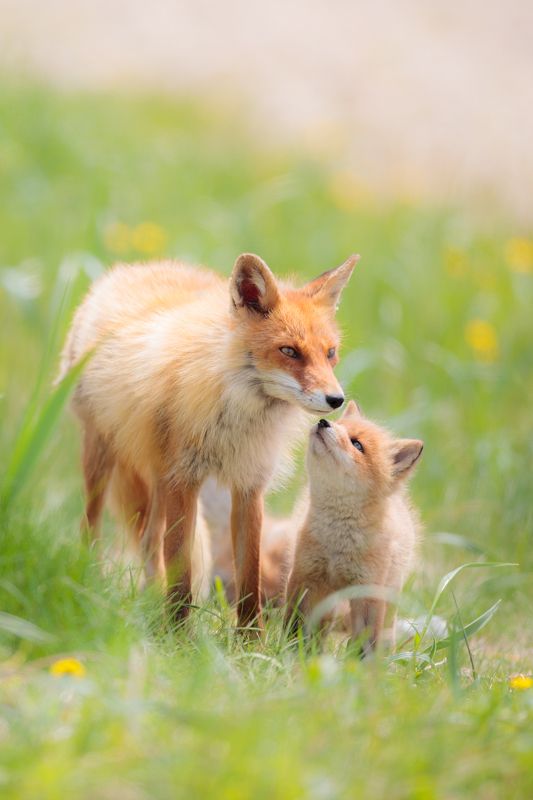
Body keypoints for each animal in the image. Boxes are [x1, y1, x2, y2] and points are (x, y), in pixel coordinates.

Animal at [58, 252, 358, 630]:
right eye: (289, 351)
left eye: (330, 353)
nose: (336, 400)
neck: (234, 413)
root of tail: (133, 268)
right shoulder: (184, 480)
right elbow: (182, 571)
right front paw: (178, 634)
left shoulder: (248, 483)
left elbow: (249, 578)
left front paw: (249, 638)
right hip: (104, 456)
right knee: (91, 525)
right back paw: (89, 582)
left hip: (159, 478)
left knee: (148, 541)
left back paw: (149, 602)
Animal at [285, 401, 423, 653]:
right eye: (339, 425)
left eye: (357, 444)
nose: (323, 422)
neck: (338, 541)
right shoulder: (306, 575)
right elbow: (295, 624)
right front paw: (292, 652)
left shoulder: (367, 591)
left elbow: (367, 641)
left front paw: (360, 662)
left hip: (387, 601)